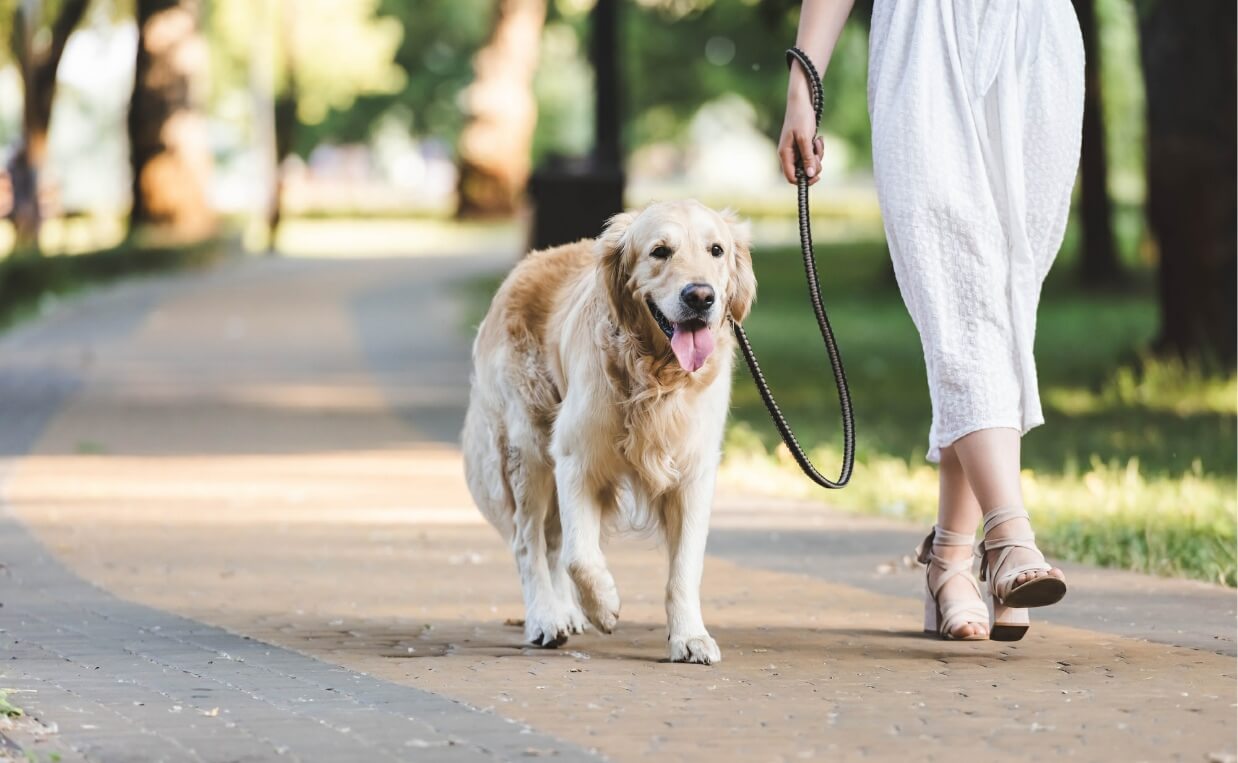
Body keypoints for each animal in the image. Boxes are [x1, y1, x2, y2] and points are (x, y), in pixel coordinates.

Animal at [463, 199, 752, 663]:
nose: (701, 296)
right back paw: (546, 618)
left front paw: (689, 636)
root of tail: (524, 265)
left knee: (552, 539)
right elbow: (580, 556)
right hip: (528, 448)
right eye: (660, 251)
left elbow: (684, 569)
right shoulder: (575, 459)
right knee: (529, 541)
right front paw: (604, 606)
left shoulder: (693, 474)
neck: (656, 378)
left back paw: (566, 613)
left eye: (716, 250)